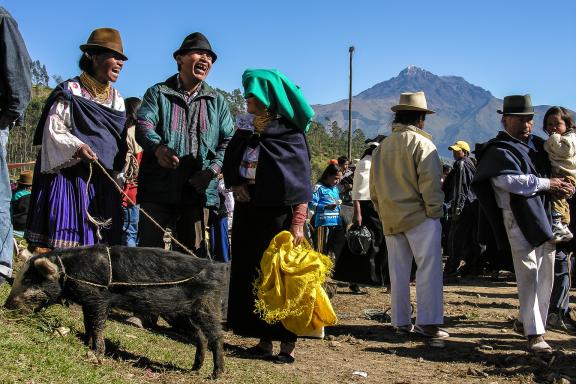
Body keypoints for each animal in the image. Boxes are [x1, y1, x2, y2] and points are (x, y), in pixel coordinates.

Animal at [5, 246, 225, 378]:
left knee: (216, 336)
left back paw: (216, 374)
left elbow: (97, 324)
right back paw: (194, 369)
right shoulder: (88, 301)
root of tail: (215, 268)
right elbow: (88, 323)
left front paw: (94, 353)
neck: (69, 271)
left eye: (29, 280)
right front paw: (87, 343)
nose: (5, 306)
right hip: (180, 314)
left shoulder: (98, 297)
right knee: (200, 336)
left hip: (206, 306)